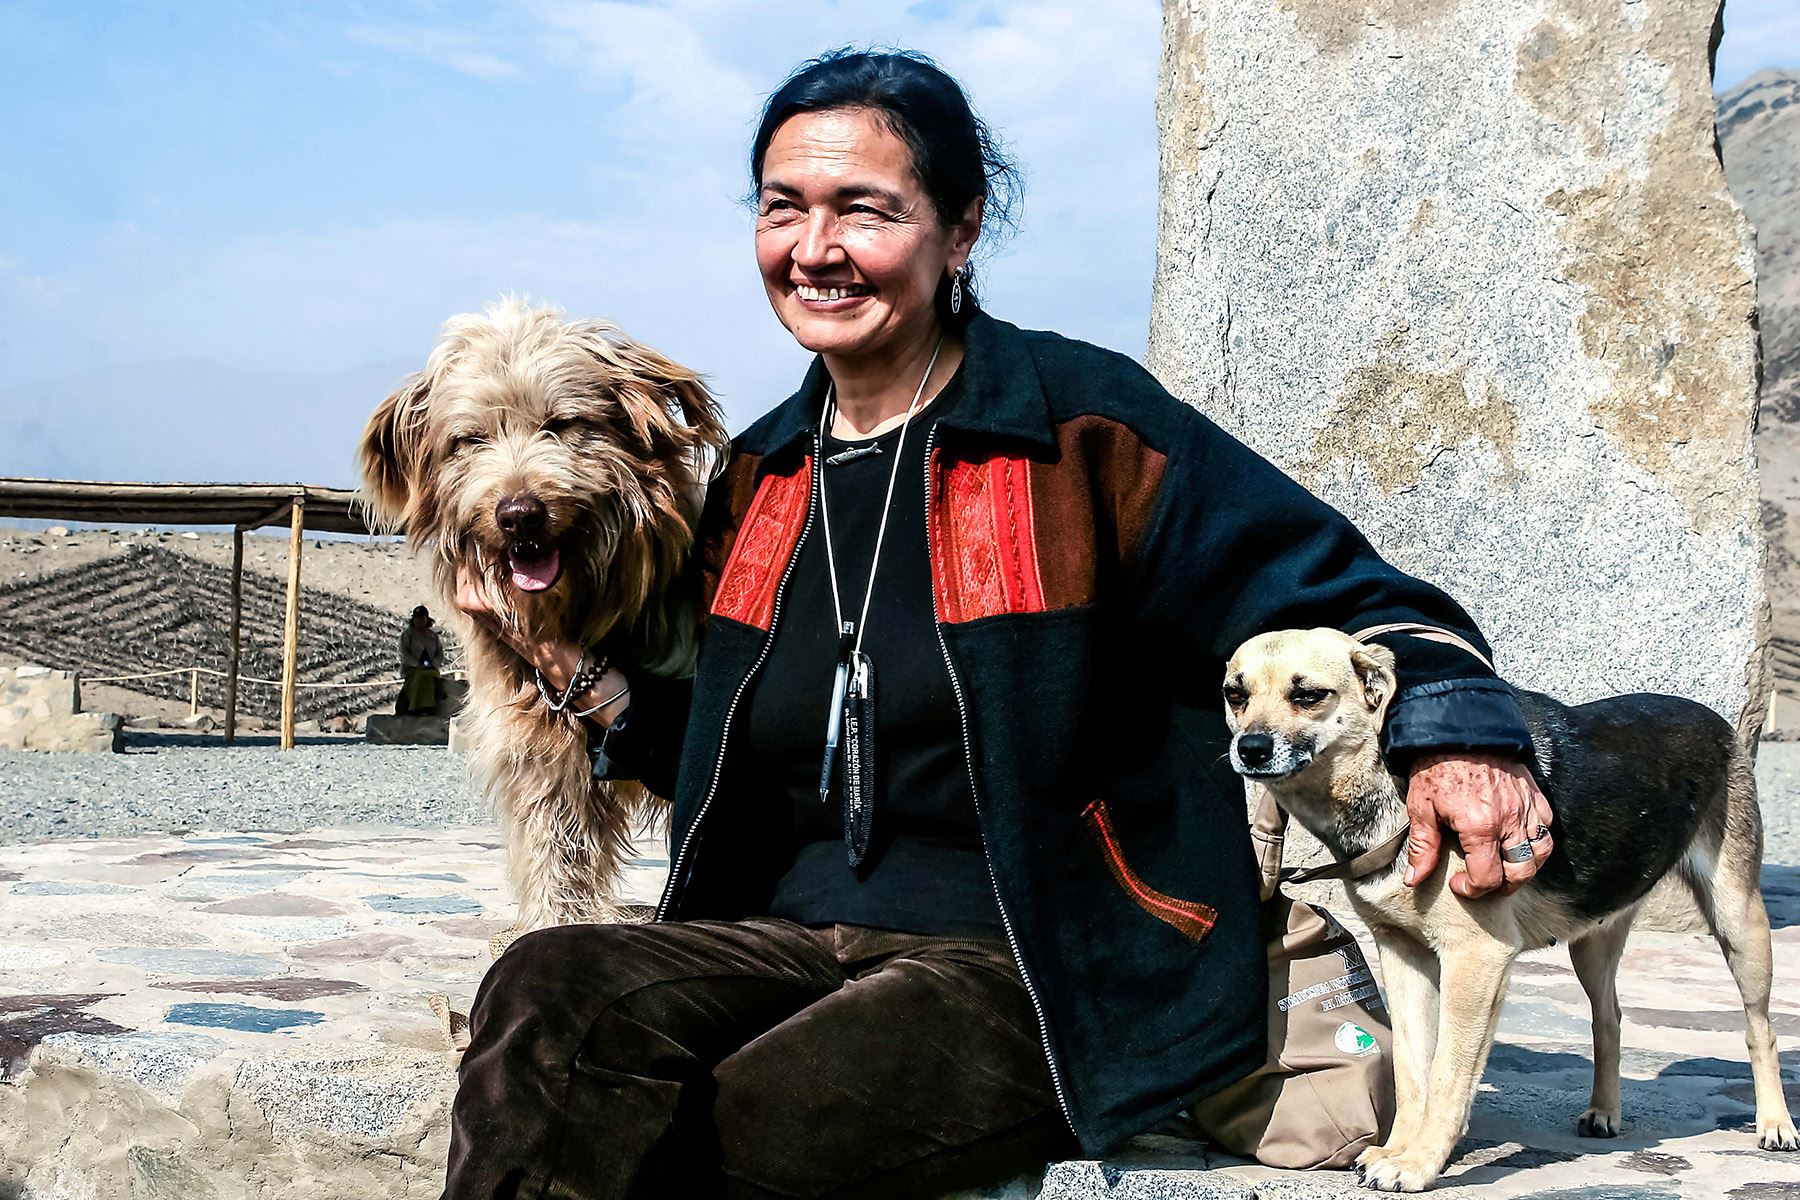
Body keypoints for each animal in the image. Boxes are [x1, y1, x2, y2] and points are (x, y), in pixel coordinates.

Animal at [358, 298, 723, 928]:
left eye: (561, 423)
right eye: (469, 440)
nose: (518, 514)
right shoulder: (537, 742)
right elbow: (558, 842)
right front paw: (556, 923)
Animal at [1216, 629, 1792, 1194]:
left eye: (1309, 695)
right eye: (1235, 694)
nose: (1250, 748)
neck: (1388, 784)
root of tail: (1717, 721)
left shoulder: (1476, 959)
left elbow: (1447, 1073)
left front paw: (1419, 1164)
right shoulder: (1402, 954)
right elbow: (1411, 1070)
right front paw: (1398, 1149)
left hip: (1740, 923)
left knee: (1759, 1028)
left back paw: (1775, 1124)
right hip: (1593, 943)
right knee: (1609, 1018)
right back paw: (1605, 1111)